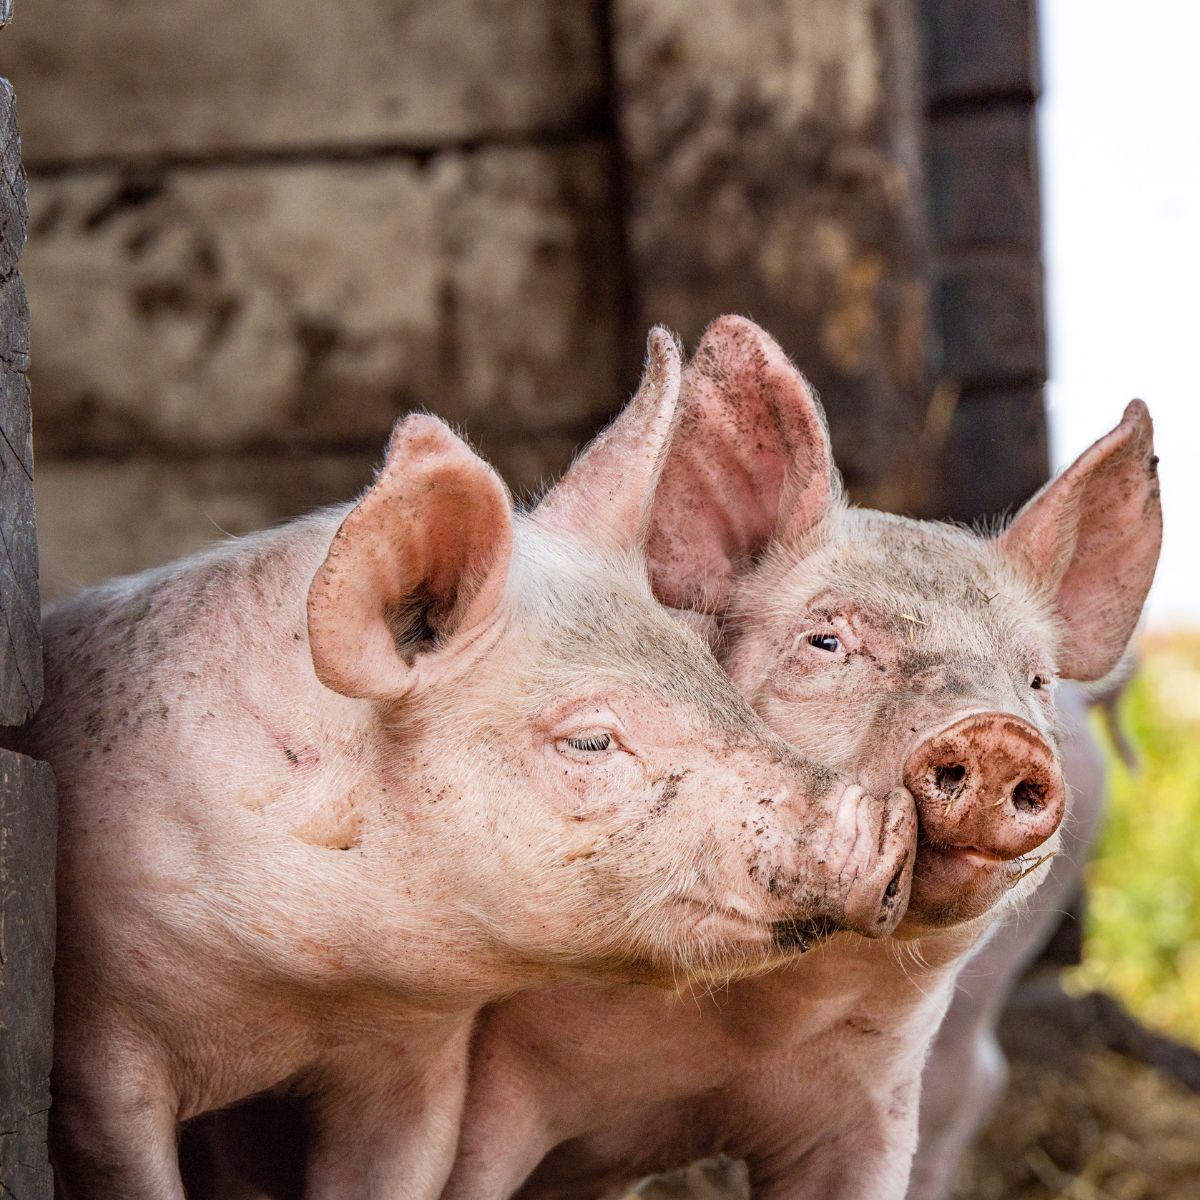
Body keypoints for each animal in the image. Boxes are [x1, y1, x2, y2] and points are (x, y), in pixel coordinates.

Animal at [18, 331, 912, 1200]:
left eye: (705, 664)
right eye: (591, 741)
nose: (890, 816)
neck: (301, 994)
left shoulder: (422, 1068)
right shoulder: (99, 1052)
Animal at [444, 316, 1161, 1200]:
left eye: (1036, 679)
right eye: (825, 641)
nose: (997, 734)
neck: (739, 1031)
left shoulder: (865, 1110)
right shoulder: (492, 1090)